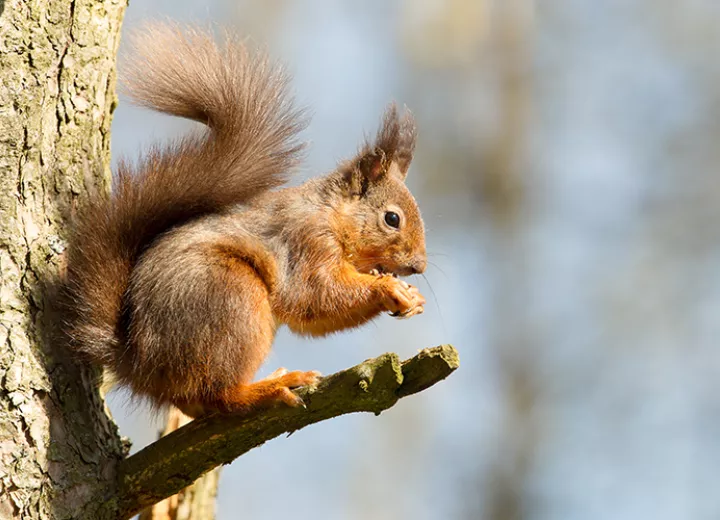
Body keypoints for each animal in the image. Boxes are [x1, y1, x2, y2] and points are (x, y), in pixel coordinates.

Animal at [60, 22, 428, 418]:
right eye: (392, 218)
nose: (419, 266)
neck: (330, 214)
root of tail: (141, 365)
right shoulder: (306, 243)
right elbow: (313, 297)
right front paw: (388, 288)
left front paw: (411, 296)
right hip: (232, 298)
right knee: (221, 394)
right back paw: (270, 387)